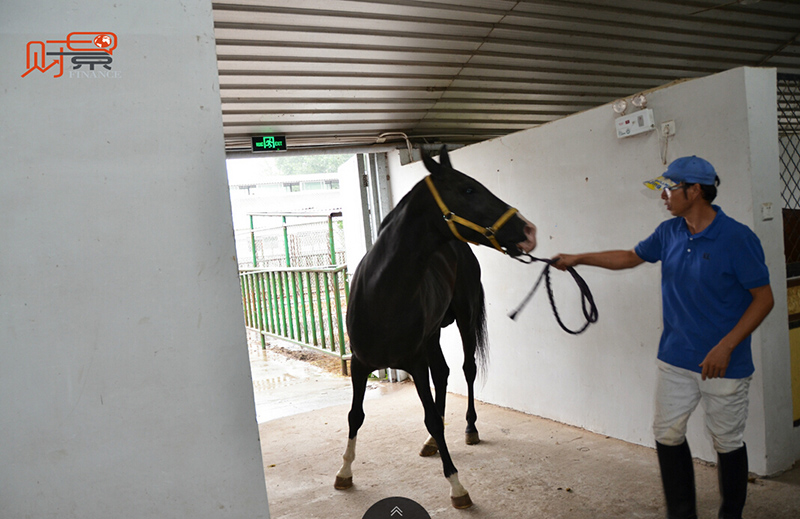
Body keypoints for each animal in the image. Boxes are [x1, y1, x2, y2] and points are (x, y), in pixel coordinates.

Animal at [334, 145, 536, 508]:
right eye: (468, 189)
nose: (527, 231)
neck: (381, 294)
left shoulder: (415, 363)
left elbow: (429, 414)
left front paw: (456, 485)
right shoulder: (359, 364)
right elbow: (355, 415)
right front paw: (344, 472)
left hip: (464, 320)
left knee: (467, 369)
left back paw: (470, 429)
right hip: (433, 336)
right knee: (442, 372)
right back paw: (431, 443)